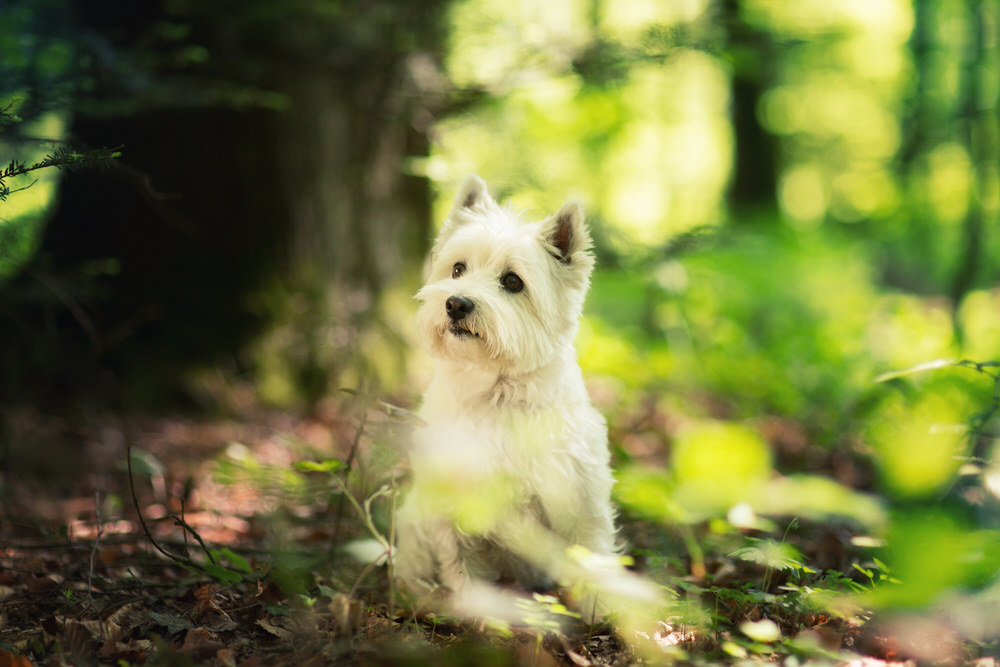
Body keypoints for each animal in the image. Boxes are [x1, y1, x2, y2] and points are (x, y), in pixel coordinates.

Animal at [396, 175, 616, 620]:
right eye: (458, 268)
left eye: (513, 281)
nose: (455, 303)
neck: (495, 392)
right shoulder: (453, 498)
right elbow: (461, 563)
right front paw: (479, 613)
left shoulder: (579, 489)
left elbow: (591, 547)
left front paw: (599, 609)